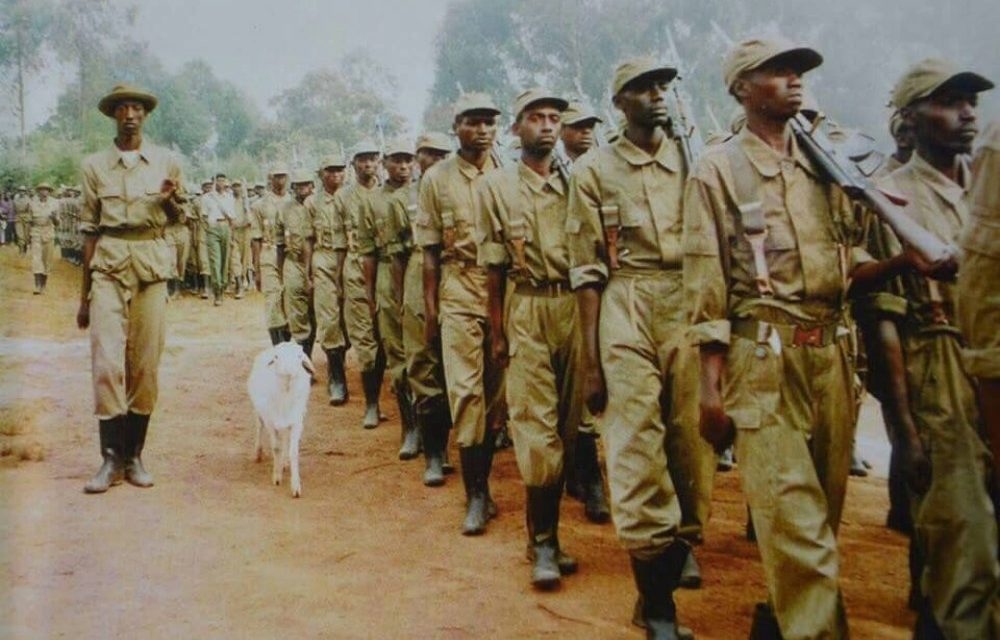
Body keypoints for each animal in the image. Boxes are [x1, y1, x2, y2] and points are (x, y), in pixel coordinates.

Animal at [246, 342, 312, 498]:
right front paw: (277, 477)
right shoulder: (270, 422)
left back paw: (284, 462)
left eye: (299, 356)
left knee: (285, 438)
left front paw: (295, 486)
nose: (288, 370)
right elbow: (276, 447)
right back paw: (258, 453)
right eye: (276, 357)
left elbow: (293, 451)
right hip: (259, 411)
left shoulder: (296, 423)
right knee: (259, 427)